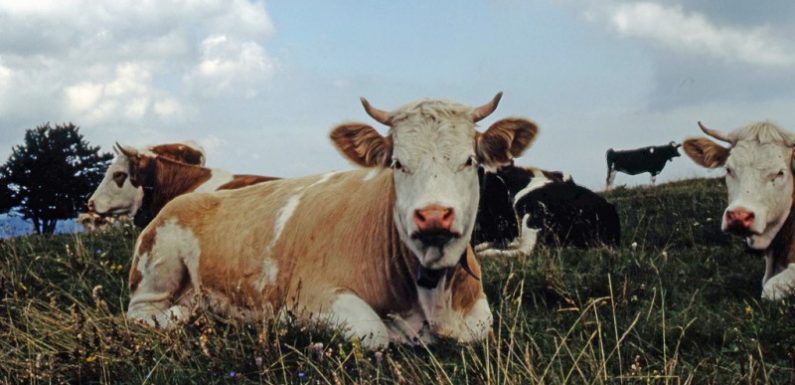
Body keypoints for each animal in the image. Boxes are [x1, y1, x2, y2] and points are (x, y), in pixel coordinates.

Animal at [127, 93, 536, 348]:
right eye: (397, 163)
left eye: (470, 160)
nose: (433, 214)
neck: (432, 299)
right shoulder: (313, 294)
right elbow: (374, 333)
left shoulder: (477, 316)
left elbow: (479, 329)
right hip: (157, 266)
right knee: (143, 315)